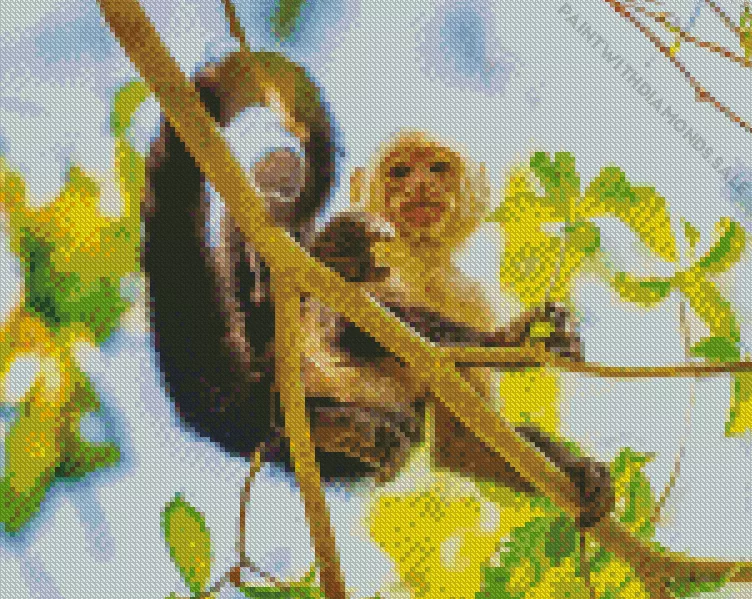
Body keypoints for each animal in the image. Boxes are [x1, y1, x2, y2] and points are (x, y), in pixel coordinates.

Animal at [143, 49, 613, 528]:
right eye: (400, 171)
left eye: (438, 167)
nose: (420, 184)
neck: (420, 259)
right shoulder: (381, 243)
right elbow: (353, 322)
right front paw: (509, 342)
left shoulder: (469, 292)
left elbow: (463, 442)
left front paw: (578, 470)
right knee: (285, 212)